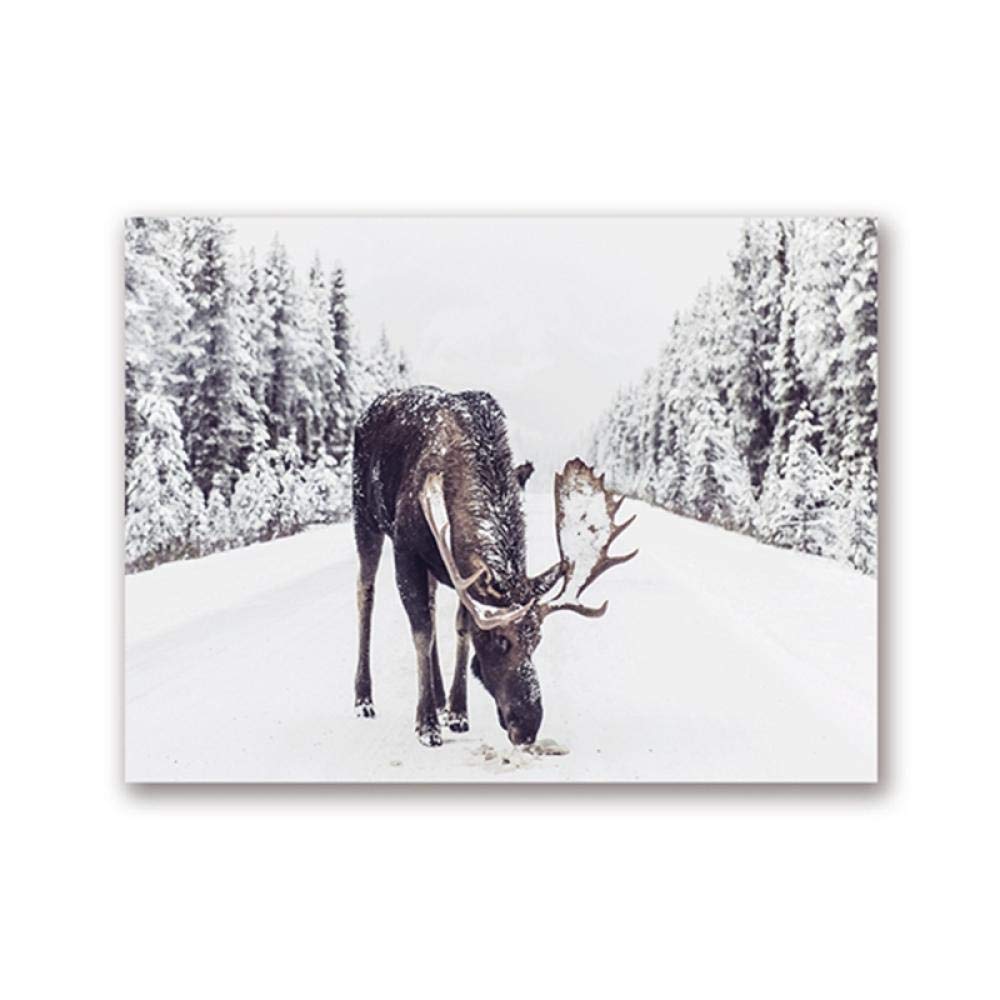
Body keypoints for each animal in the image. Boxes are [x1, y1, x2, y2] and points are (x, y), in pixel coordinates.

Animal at [351, 386, 637, 747]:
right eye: (501, 641)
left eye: (537, 640)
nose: (527, 727)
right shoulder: (407, 548)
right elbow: (421, 632)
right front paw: (426, 724)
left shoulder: (458, 568)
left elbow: (460, 627)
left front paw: (458, 712)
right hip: (365, 517)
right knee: (366, 594)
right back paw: (364, 698)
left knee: (431, 603)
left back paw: (441, 696)